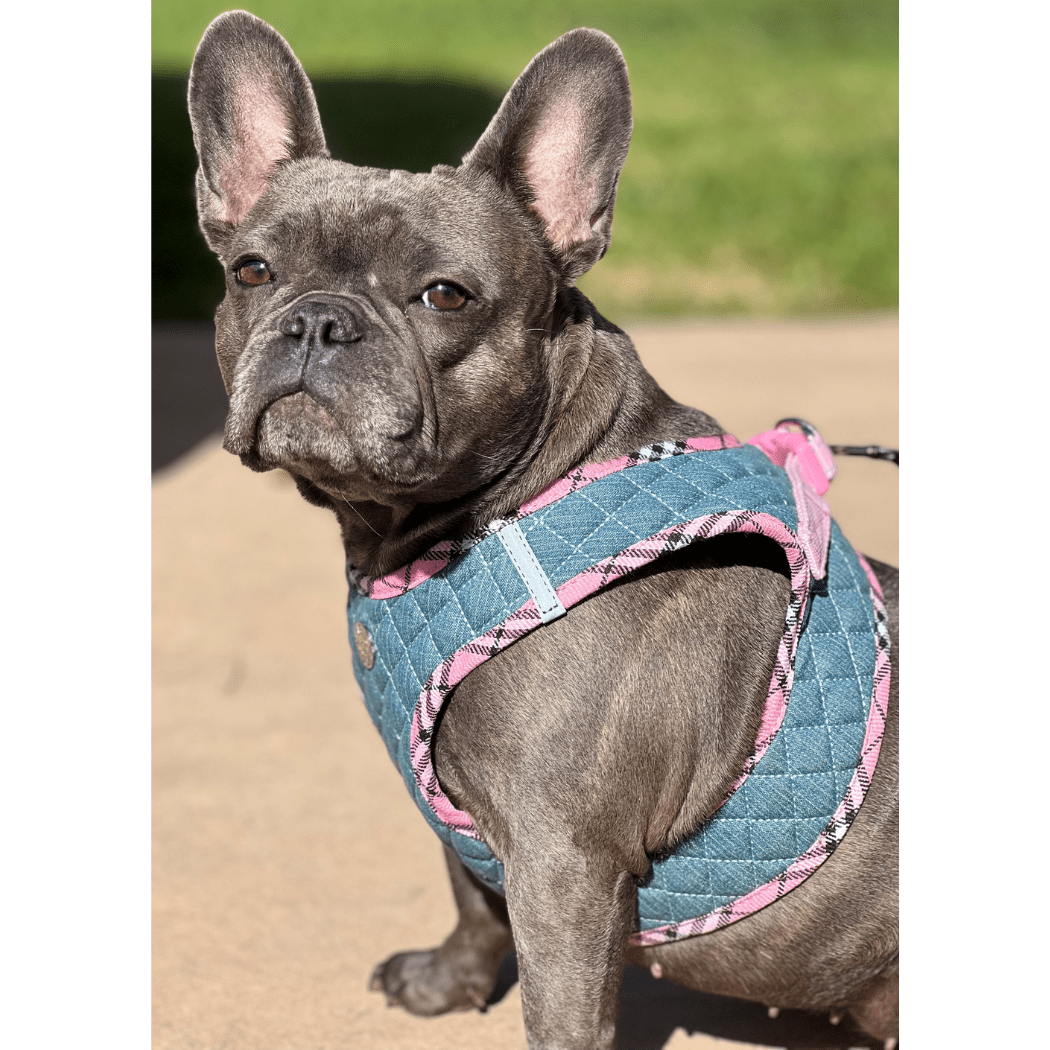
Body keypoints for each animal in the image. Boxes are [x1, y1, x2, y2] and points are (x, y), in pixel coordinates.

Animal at [188, 12, 898, 1048]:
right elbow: (469, 892)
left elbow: (557, 1002)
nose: (317, 321)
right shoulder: (485, 833)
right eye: (252, 272)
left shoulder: (563, 861)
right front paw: (447, 982)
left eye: (445, 295)